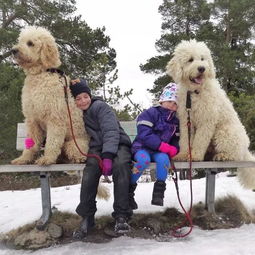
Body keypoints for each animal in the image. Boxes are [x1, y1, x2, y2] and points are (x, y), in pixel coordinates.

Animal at [166, 38, 255, 188]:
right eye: (190, 59)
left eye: (203, 59)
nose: (202, 68)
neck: (195, 92)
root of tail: (245, 150)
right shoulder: (186, 120)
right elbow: (184, 140)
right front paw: (183, 154)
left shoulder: (206, 120)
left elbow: (200, 140)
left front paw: (195, 156)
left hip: (225, 132)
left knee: (234, 153)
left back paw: (223, 155)